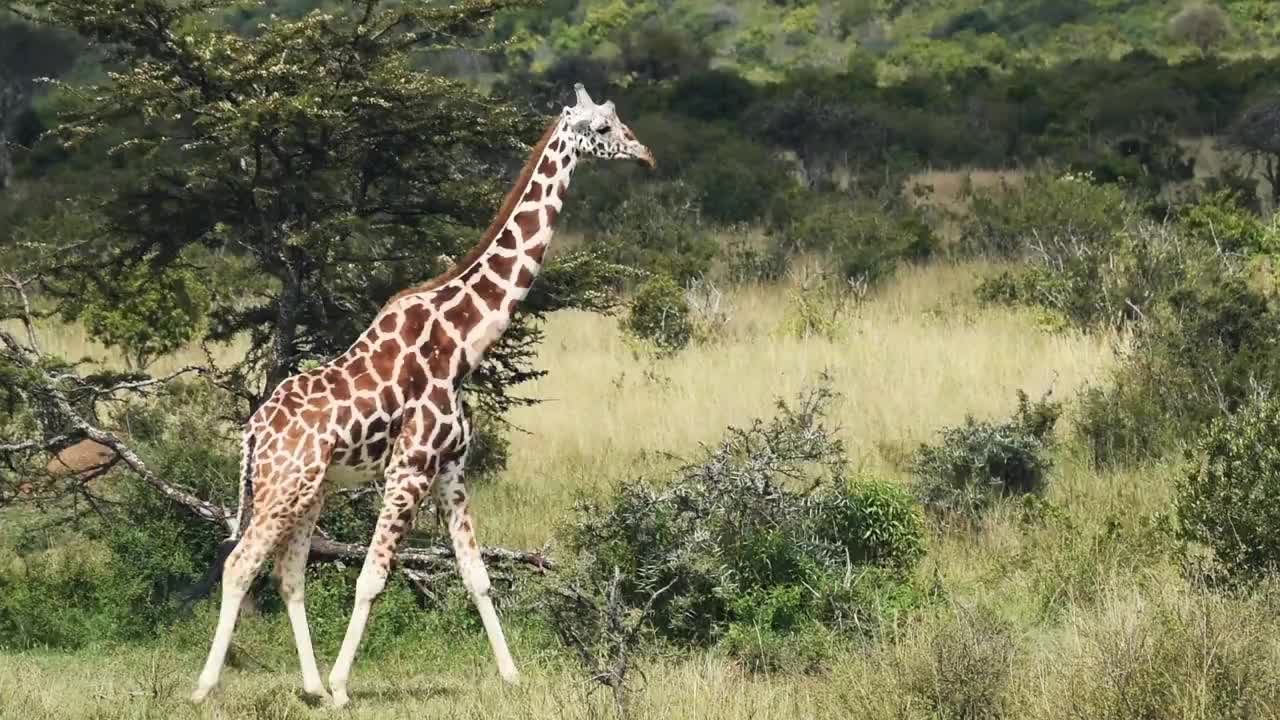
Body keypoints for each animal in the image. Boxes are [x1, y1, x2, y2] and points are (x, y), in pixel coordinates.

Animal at [192, 81, 650, 702]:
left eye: (620, 120)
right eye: (601, 129)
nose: (645, 154)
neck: (462, 341)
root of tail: (252, 433)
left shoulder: (451, 465)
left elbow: (477, 575)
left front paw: (511, 674)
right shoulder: (409, 467)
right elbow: (371, 577)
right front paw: (343, 686)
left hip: (312, 489)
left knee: (289, 574)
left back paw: (308, 687)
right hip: (281, 485)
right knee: (240, 564)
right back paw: (208, 686)